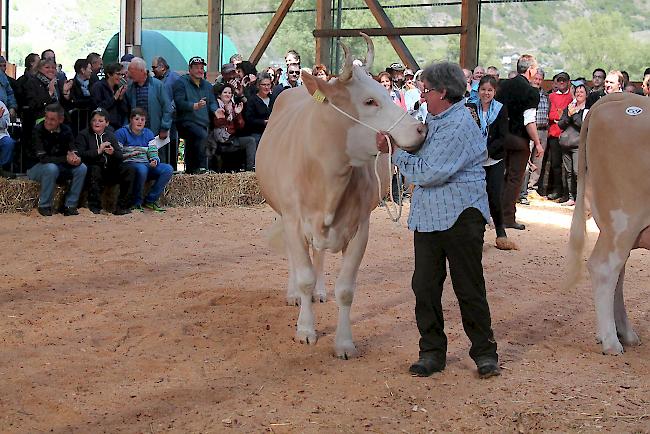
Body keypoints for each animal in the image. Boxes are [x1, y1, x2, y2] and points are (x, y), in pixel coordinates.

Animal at [253, 34, 426, 360]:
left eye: (386, 93)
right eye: (369, 101)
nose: (421, 128)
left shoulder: (360, 228)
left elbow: (345, 289)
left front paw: (344, 342)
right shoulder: (294, 221)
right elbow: (303, 274)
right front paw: (305, 329)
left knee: (319, 255)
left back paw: (320, 291)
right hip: (282, 212)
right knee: (297, 260)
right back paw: (294, 294)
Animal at [560, 93, 648, 354]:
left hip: (615, 225)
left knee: (617, 272)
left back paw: (623, 334)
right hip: (623, 218)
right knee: (605, 268)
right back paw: (611, 341)